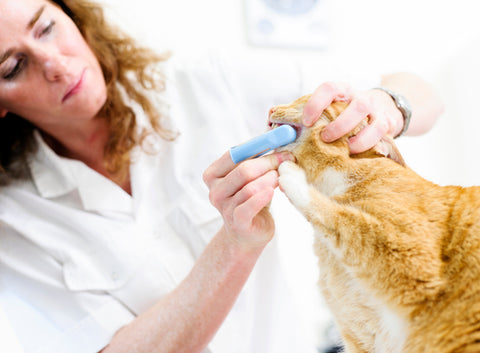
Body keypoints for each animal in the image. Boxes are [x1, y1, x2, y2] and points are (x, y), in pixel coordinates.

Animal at [272, 94, 480, 352]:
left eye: (304, 101)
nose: (271, 109)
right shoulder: (362, 338)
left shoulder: (411, 256)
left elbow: (344, 220)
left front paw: (291, 175)